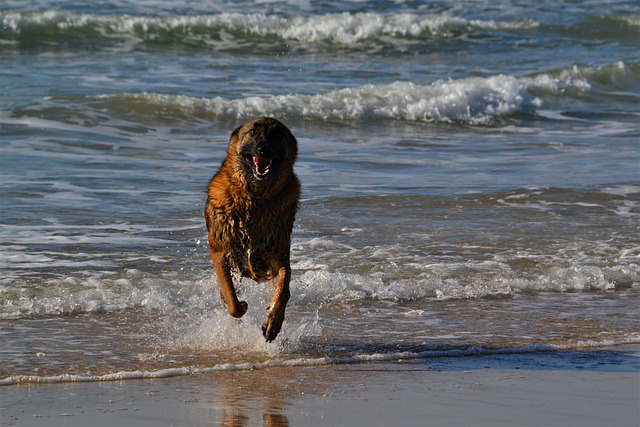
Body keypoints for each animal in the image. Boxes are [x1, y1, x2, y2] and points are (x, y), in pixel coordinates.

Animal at [204, 116, 302, 342]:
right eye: (252, 132)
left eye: (277, 134)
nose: (263, 149)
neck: (256, 197)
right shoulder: (220, 252)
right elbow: (231, 299)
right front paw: (240, 305)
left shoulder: (277, 253)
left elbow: (283, 287)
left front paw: (273, 323)